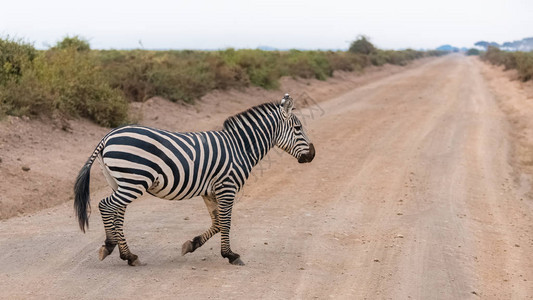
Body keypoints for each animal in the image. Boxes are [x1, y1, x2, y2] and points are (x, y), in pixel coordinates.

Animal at [75, 92, 316, 266]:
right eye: (298, 128)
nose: (312, 155)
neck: (240, 147)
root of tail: (108, 135)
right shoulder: (227, 187)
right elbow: (226, 222)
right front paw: (231, 255)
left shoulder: (210, 191)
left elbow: (217, 223)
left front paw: (191, 245)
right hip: (134, 181)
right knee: (105, 206)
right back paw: (110, 246)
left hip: (120, 181)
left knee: (118, 212)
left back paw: (128, 255)